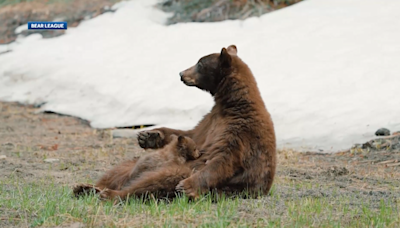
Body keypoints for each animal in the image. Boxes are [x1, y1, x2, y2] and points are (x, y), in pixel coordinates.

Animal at [74, 44, 276, 200]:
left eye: (200, 63)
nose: (181, 73)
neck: (231, 104)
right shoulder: (211, 120)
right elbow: (190, 134)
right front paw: (149, 135)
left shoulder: (240, 130)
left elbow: (224, 159)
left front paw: (187, 187)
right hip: (135, 165)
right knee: (118, 171)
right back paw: (87, 188)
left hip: (187, 172)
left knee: (154, 181)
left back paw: (111, 194)